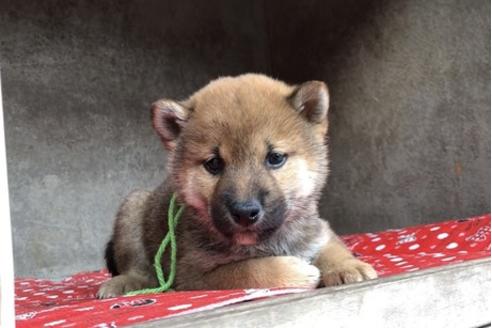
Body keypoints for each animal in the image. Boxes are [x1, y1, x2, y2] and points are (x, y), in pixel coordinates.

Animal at [96, 73, 376, 298]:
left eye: (275, 158)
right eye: (214, 163)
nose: (244, 212)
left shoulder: (318, 229)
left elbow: (332, 246)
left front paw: (347, 266)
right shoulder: (196, 273)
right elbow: (247, 269)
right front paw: (295, 270)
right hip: (132, 209)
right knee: (137, 266)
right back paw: (126, 283)